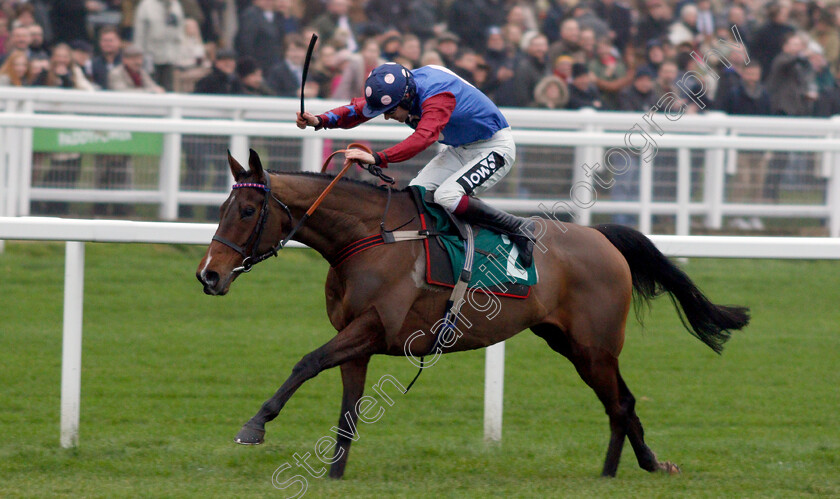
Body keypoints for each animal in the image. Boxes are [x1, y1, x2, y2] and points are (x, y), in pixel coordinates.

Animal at [195, 151, 748, 480]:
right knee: (619, 403)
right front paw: (333, 475)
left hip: (595, 346)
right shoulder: (356, 337)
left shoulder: (373, 328)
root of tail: (601, 237)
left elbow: (306, 362)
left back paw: (636, 467)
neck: (370, 237)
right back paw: (620, 470)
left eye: (247, 212)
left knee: (621, 402)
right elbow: (348, 409)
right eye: (222, 208)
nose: (209, 275)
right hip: (570, 344)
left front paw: (255, 425)